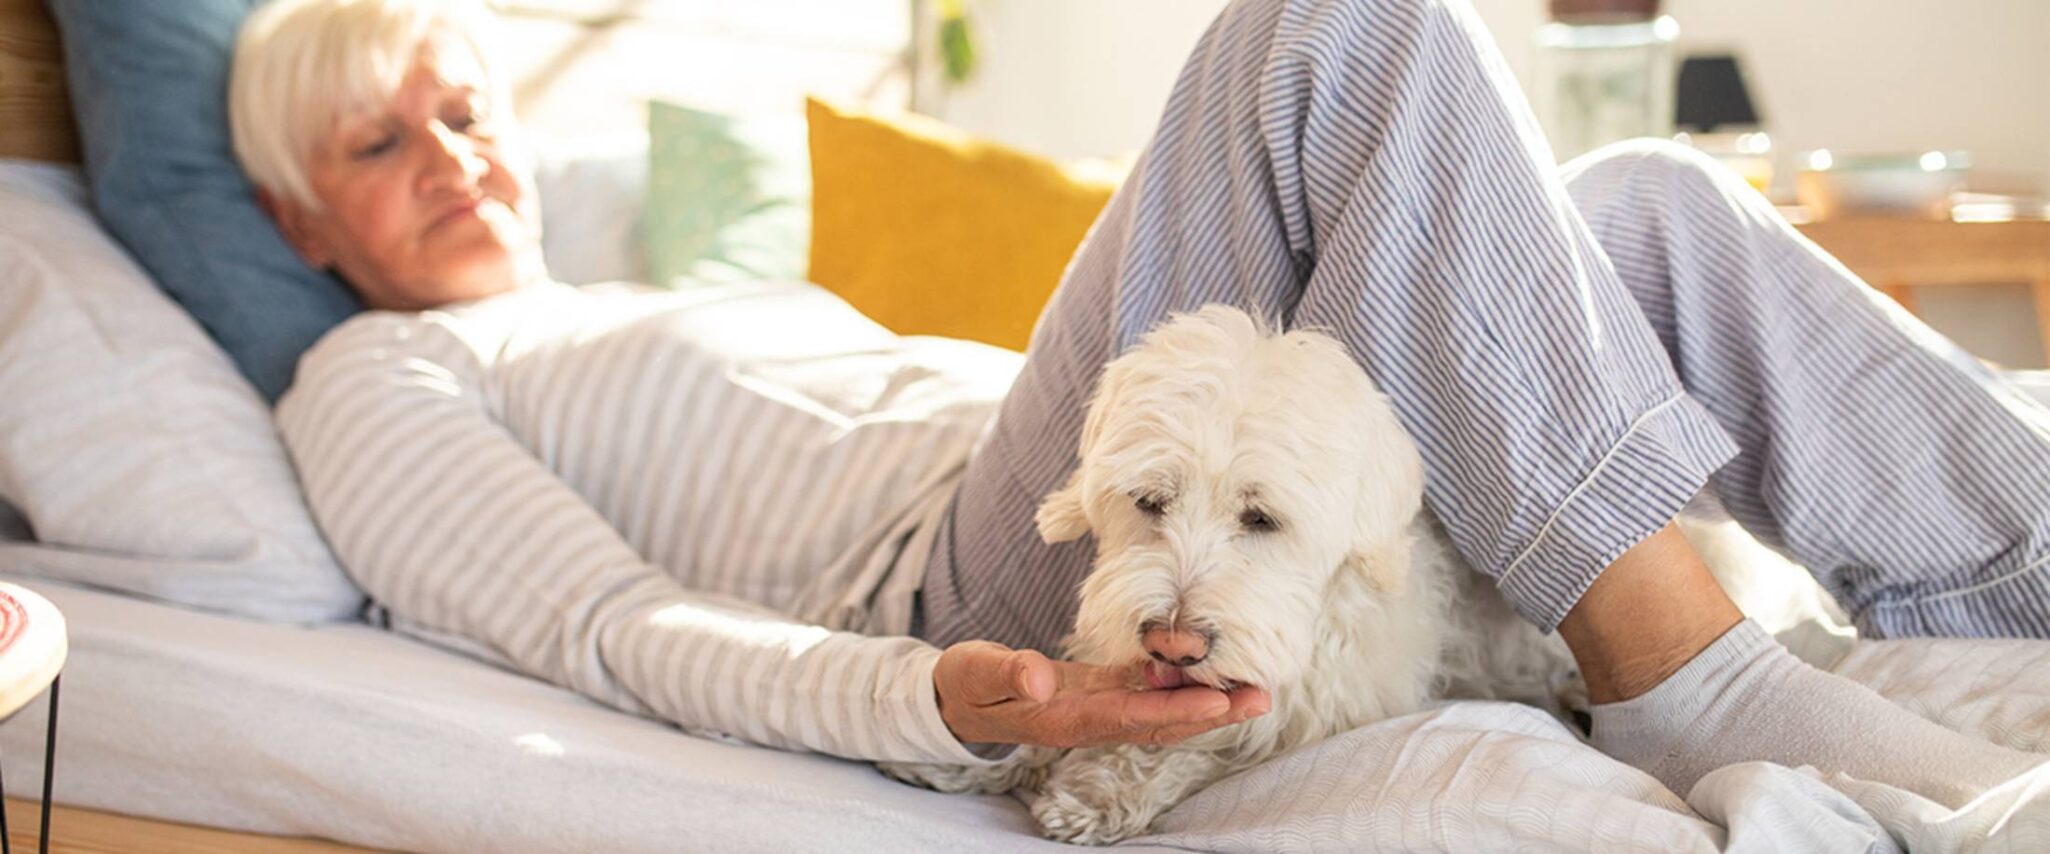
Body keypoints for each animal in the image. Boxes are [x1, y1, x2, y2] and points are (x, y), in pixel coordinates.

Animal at [881, 303, 1582, 843]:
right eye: (1149, 501)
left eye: (1262, 518)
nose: (1173, 643)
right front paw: (967, 754)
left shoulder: (1330, 705)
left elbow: (1204, 747)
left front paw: (1098, 793)